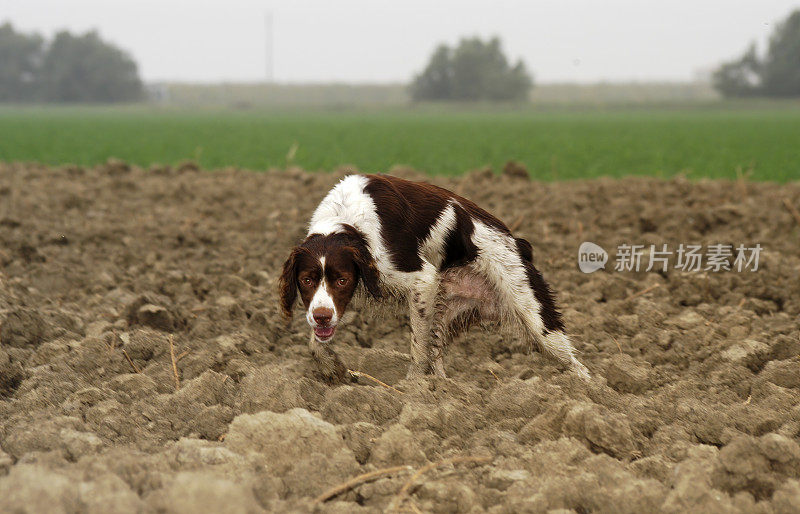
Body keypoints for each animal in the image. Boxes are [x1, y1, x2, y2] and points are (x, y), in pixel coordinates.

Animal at [280, 174, 588, 378]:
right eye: (306, 280)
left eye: (342, 279)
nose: (322, 317)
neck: (345, 221)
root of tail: (518, 243)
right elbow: (315, 342)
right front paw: (331, 368)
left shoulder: (421, 279)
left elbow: (417, 349)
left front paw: (414, 391)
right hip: (446, 312)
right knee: (438, 353)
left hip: (534, 315)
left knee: (573, 361)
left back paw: (586, 392)